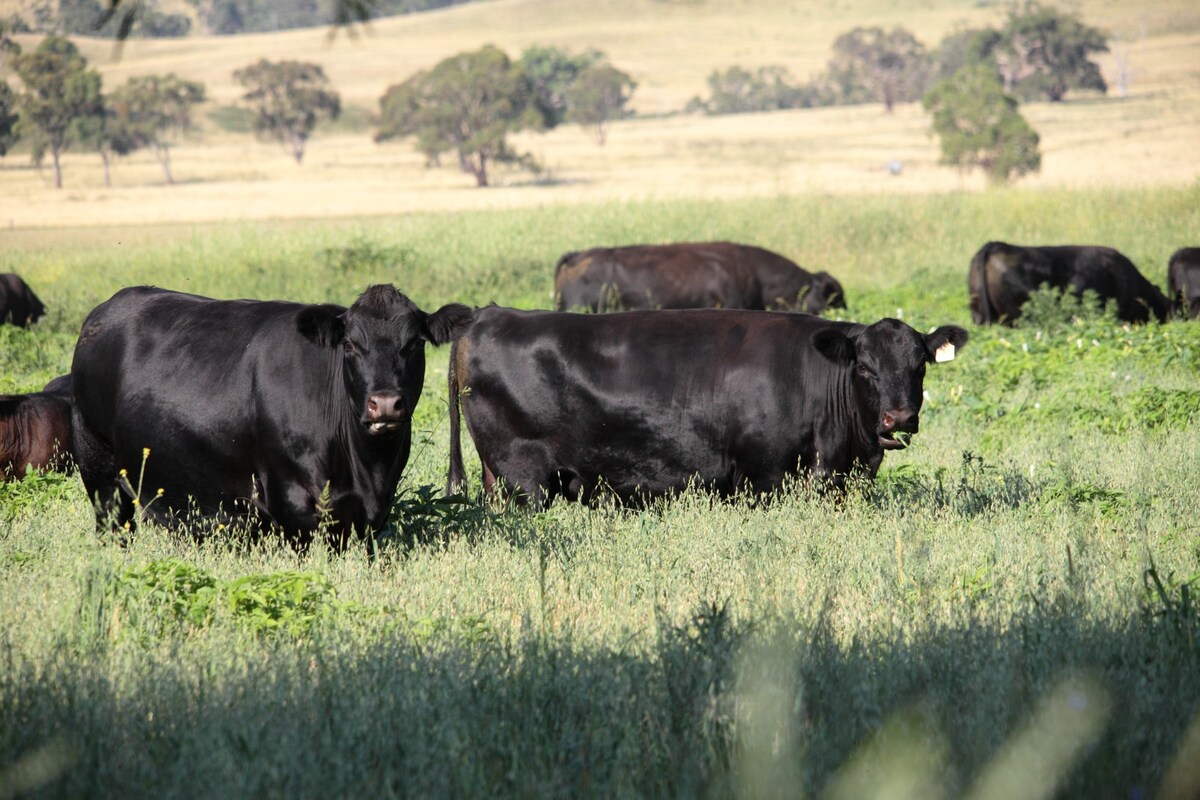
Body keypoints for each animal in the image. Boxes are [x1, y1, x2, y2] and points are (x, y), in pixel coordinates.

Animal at [68, 284, 472, 546]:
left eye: (414, 344)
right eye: (351, 345)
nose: (385, 404)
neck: (365, 466)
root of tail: (107, 309)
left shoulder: (371, 515)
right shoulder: (293, 506)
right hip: (101, 475)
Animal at [448, 307, 964, 506]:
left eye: (920, 366)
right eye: (866, 368)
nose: (900, 417)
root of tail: (485, 315)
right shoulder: (764, 478)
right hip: (524, 479)